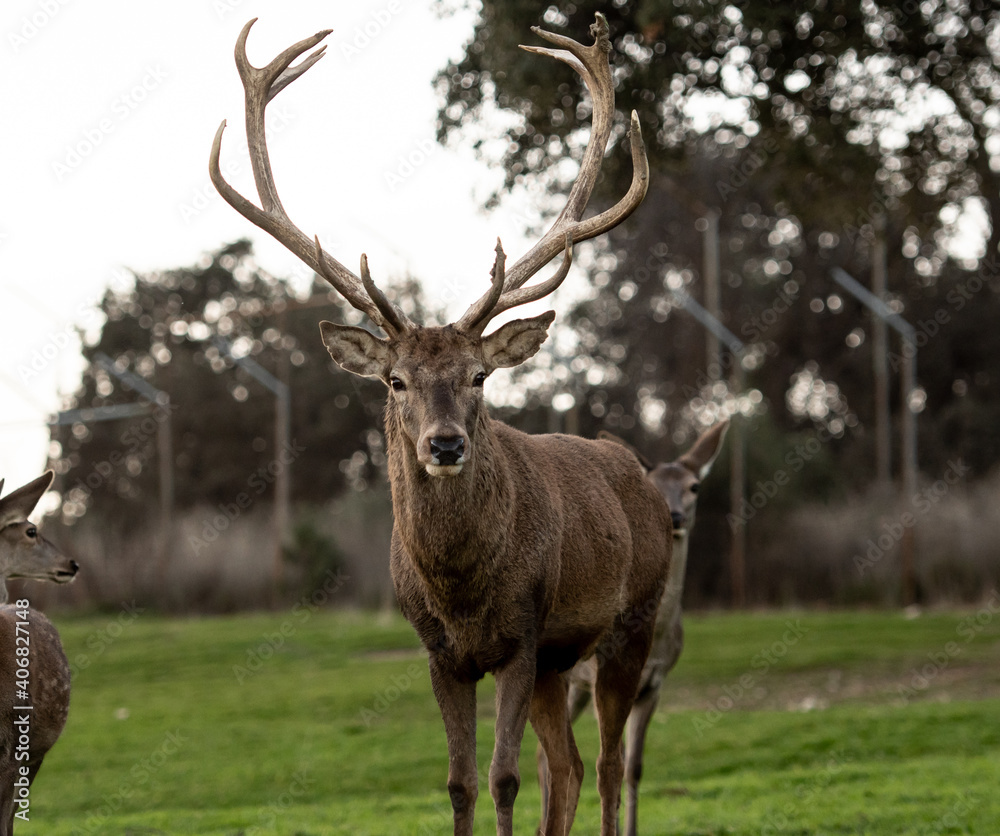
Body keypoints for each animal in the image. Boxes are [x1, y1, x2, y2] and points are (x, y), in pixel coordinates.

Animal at [213, 13, 672, 836]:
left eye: (479, 376)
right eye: (395, 380)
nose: (446, 442)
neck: (463, 591)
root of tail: (642, 478)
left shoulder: (523, 635)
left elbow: (503, 778)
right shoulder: (440, 652)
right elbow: (460, 782)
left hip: (632, 624)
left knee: (611, 764)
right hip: (563, 661)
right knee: (570, 767)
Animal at [540, 424, 728, 836]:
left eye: (694, 486)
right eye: (654, 484)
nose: (675, 516)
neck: (658, 641)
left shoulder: (654, 685)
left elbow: (635, 768)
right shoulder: (600, 676)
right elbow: (615, 759)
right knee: (548, 757)